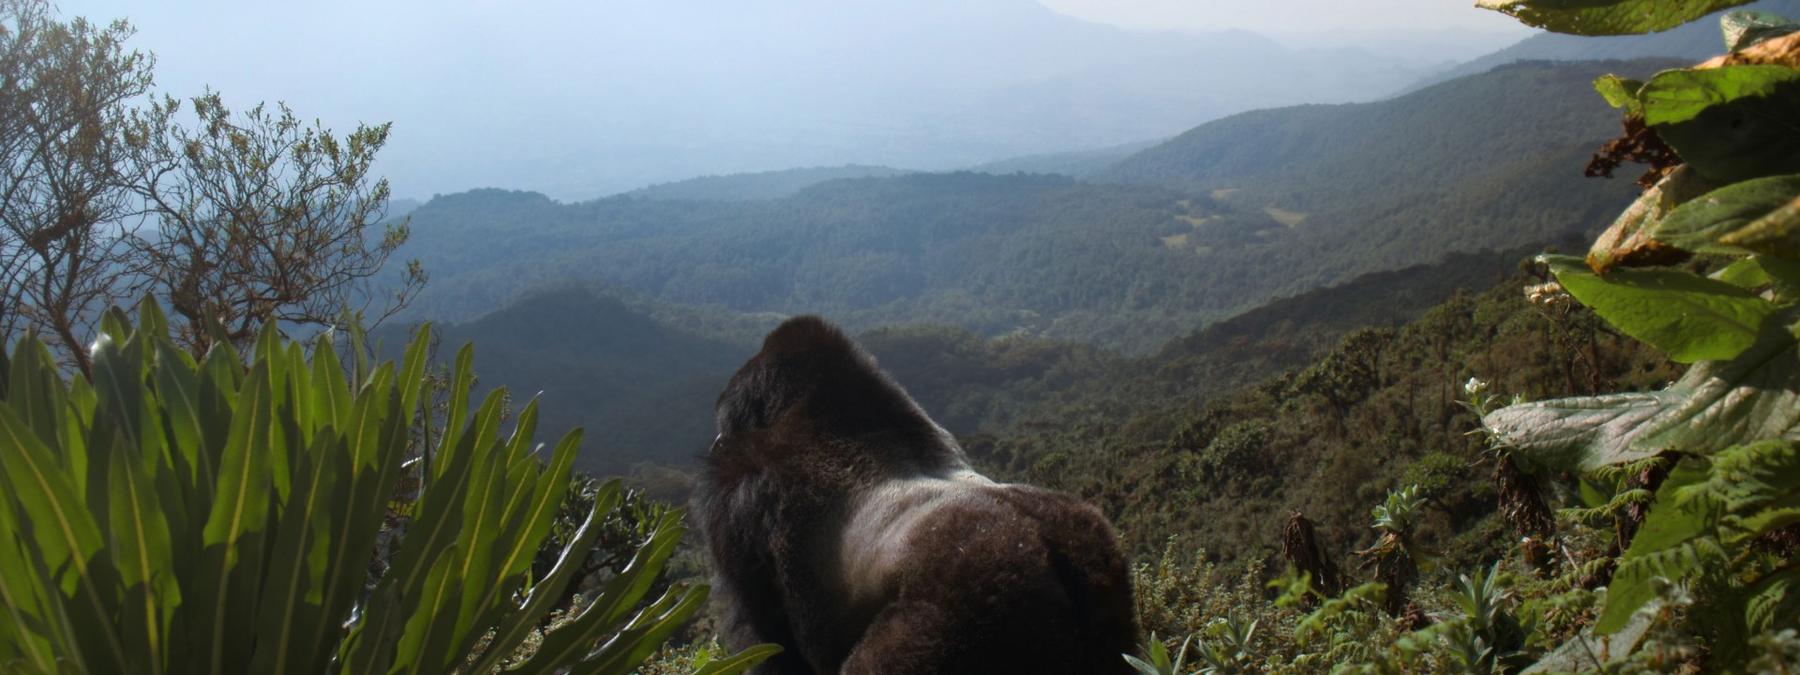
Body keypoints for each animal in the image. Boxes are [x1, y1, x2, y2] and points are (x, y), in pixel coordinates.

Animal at [695, 316, 1138, 674]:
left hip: (973, 597)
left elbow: (767, 636)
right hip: (1105, 574)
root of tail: (1056, 549)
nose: (716, 441)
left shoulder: (741, 495)